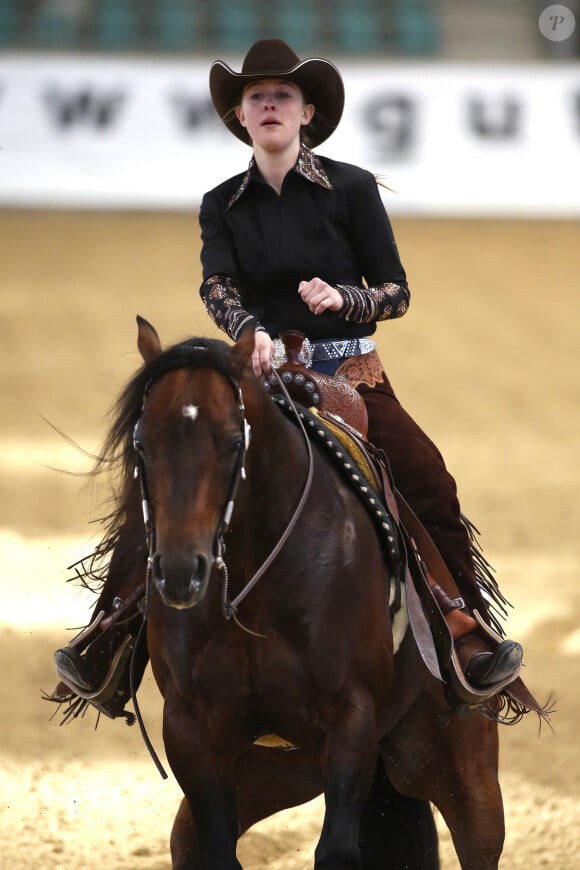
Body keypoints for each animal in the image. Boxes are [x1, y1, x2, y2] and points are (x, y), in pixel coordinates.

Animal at [110, 320, 508, 870]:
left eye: (233, 443)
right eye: (142, 444)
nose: (179, 571)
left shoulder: (351, 719)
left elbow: (336, 849)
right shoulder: (191, 730)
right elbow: (217, 849)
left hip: (465, 769)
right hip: (271, 773)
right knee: (187, 841)